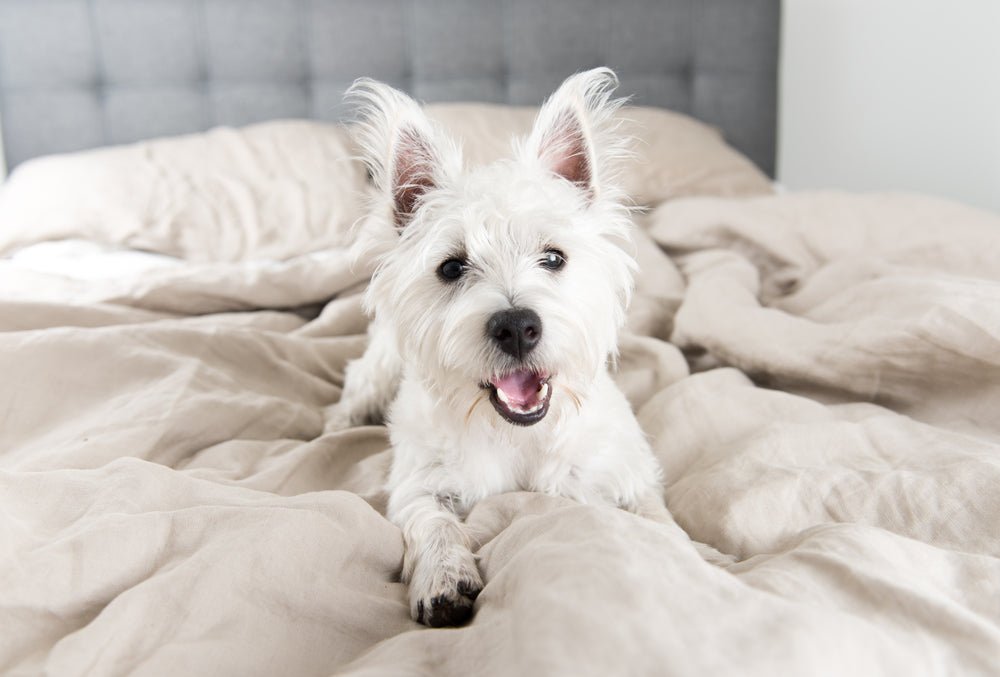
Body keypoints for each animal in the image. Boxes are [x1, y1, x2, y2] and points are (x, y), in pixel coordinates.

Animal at [338, 70, 672, 628]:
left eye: (553, 257)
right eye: (452, 267)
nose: (516, 327)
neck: (518, 439)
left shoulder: (625, 472)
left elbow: (659, 522)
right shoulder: (418, 482)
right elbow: (432, 522)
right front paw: (443, 579)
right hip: (379, 369)